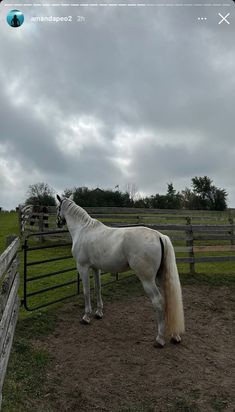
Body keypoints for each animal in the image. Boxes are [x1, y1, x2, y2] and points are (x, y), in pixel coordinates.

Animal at [56, 196, 184, 348]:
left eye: (57, 207)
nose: (58, 223)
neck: (83, 229)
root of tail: (159, 236)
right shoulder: (95, 268)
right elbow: (98, 288)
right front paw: (99, 313)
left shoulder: (83, 267)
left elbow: (86, 291)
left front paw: (86, 317)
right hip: (160, 277)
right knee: (169, 300)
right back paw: (175, 336)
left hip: (147, 281)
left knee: (158, 302)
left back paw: (159, 339)